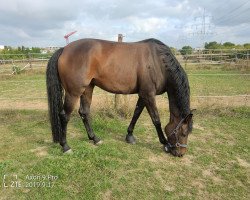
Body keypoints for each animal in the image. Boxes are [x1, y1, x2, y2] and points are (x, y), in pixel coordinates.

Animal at [45, 37, 193, 156]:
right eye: (183, 132)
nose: (180, 153)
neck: (158, 61)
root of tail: (64, 50)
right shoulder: (149, 94)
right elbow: (156, 119)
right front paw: (165, 143)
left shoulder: (143, 95)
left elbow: (136, 113)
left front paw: (130, 136)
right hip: (74, 92)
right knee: (64, 116)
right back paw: (65, 146)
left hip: (87, 89)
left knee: (84, 112)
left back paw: (95, 139)